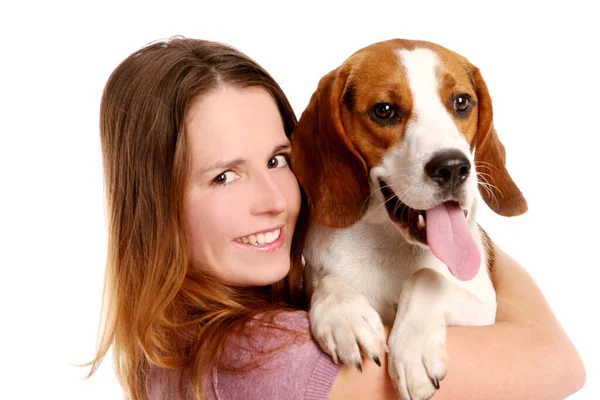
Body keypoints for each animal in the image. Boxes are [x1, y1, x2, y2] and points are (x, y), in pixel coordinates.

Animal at [290, 39, 528, 400]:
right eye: (384, 110)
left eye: (461, 102)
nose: (452, 167)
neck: (392, 246)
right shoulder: (316, 275)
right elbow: (327, 281)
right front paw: (345, 317)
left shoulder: (485, 311)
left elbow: (427, 277)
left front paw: (415, 350)